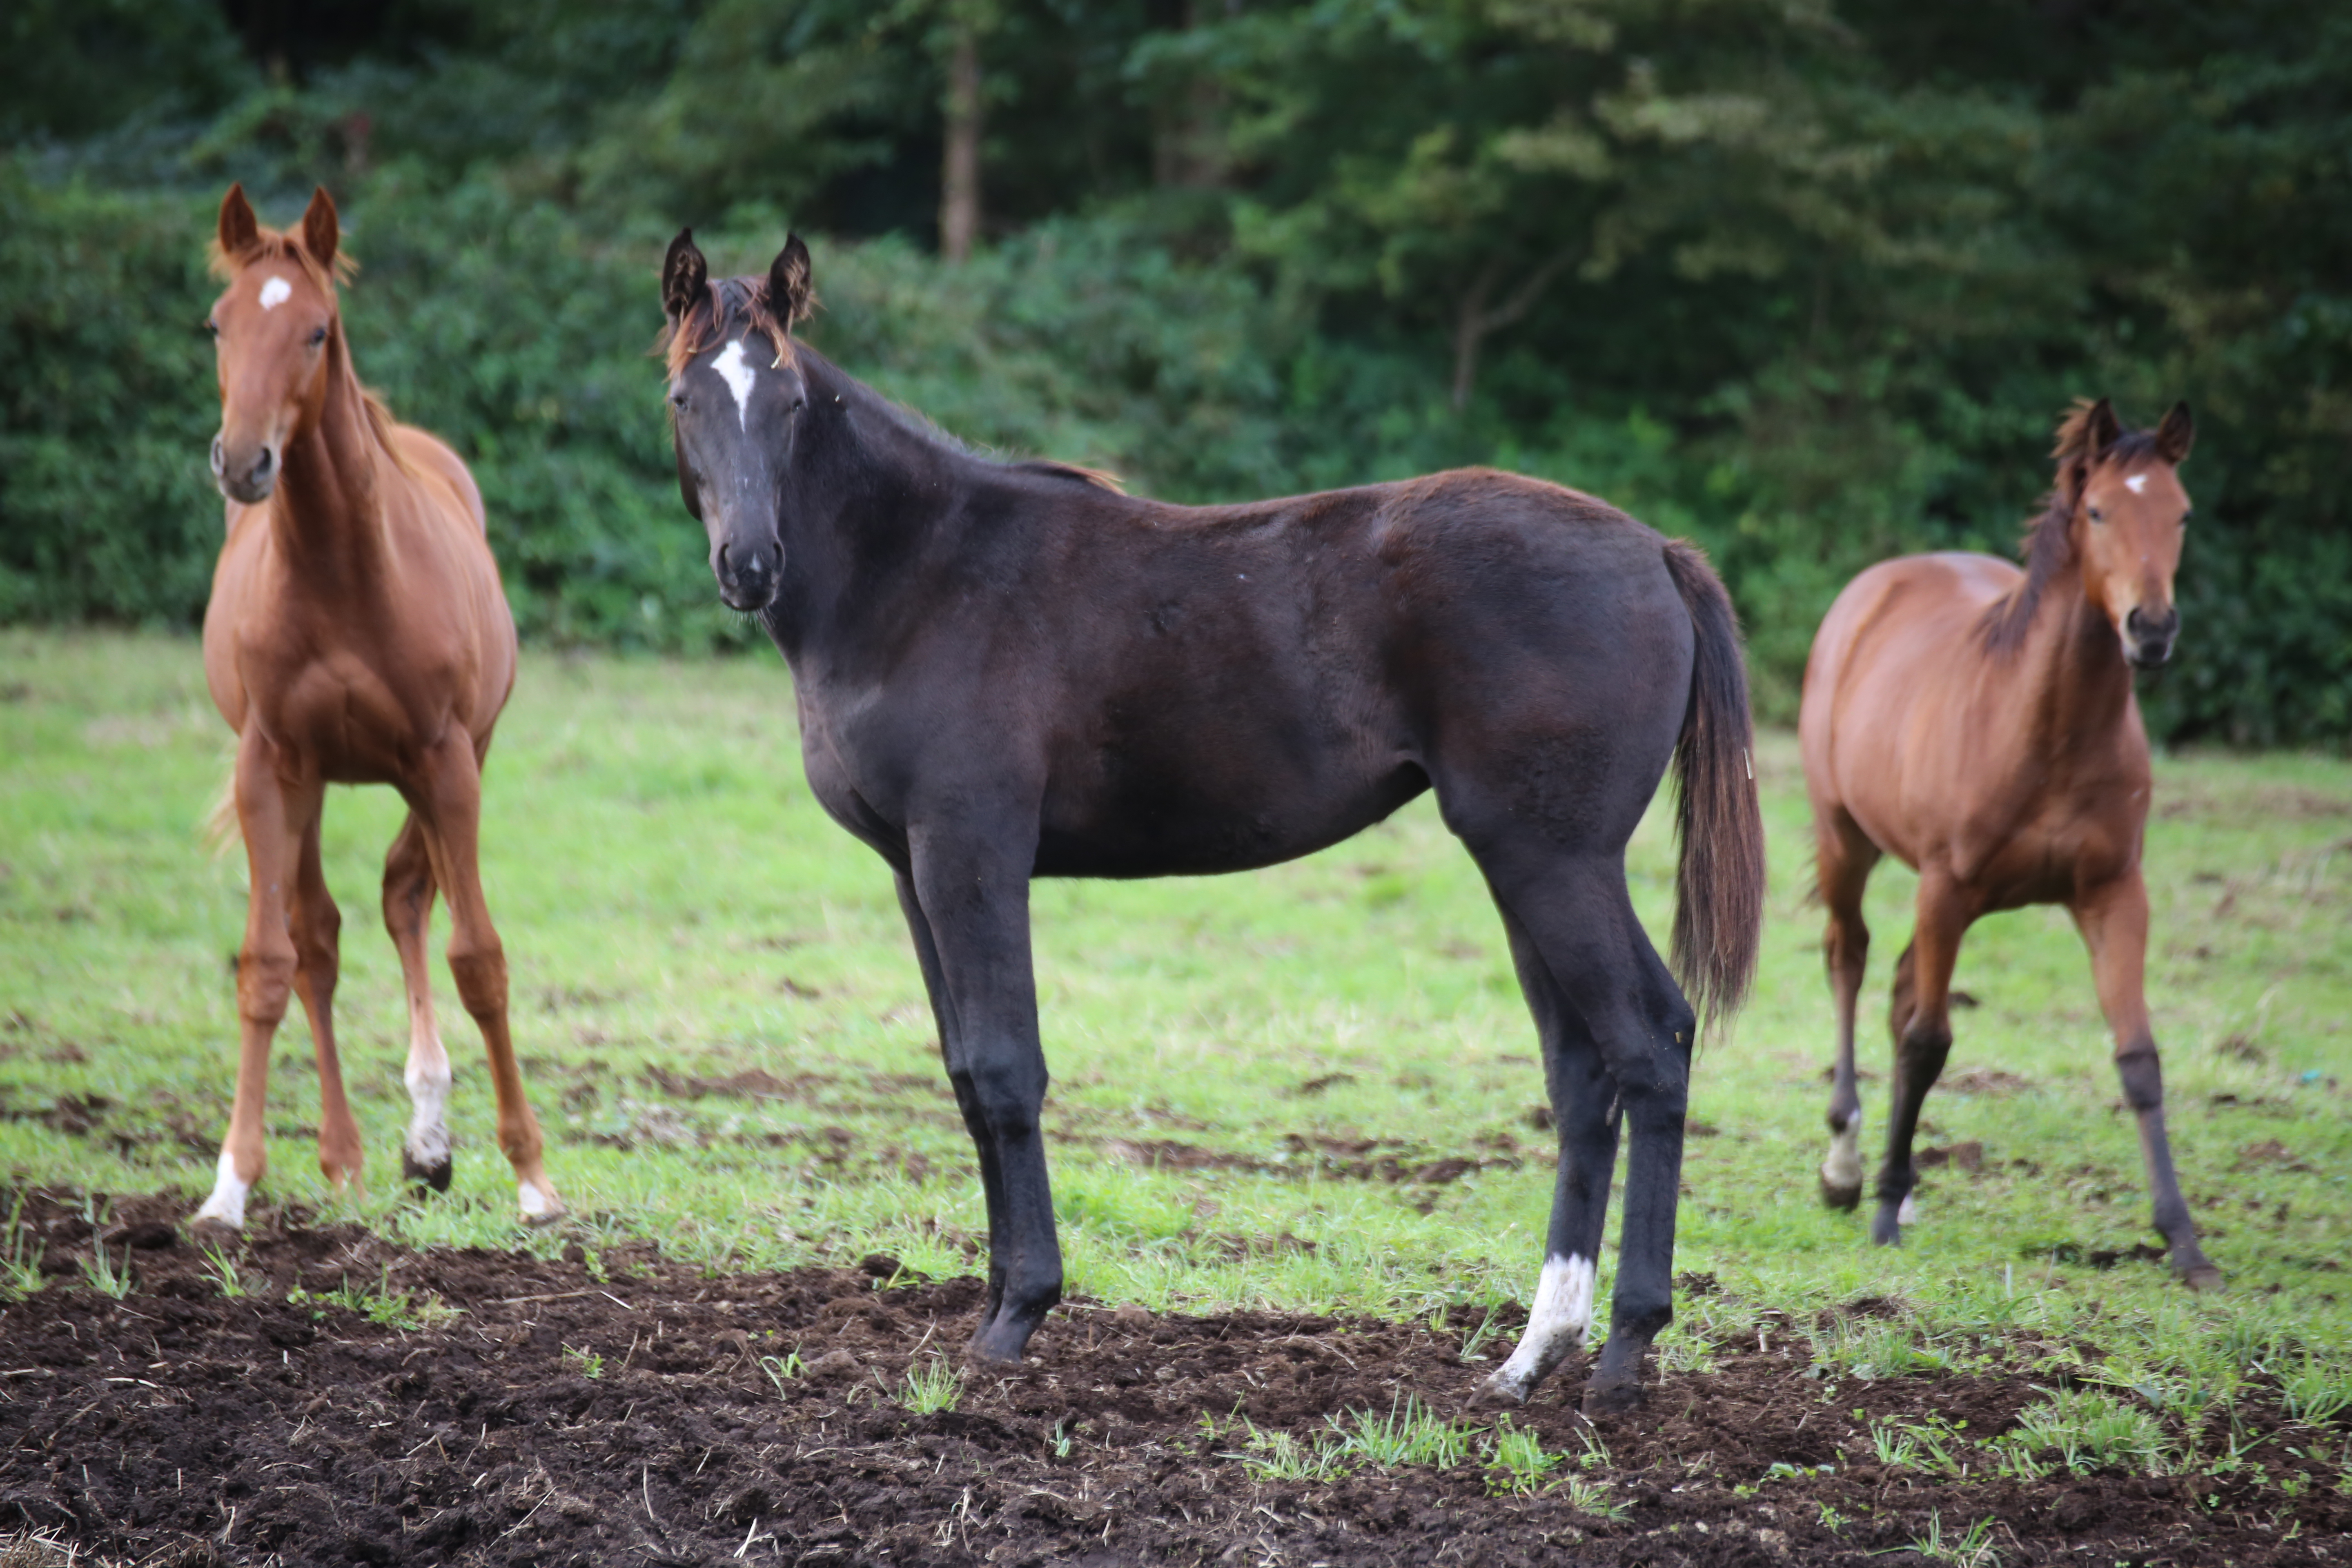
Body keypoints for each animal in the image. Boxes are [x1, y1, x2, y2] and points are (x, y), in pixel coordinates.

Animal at [192, 184, 559, 1232]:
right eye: (218, 325)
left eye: (316, 331)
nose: (245, 461)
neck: (344, 570)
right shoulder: (269, 762)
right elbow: (269, 962)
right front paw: (231, 1182)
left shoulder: (445, 759)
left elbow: (478, 957)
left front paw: (532, 1178)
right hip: (311, 782)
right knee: (318, 936)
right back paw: (348, 1157)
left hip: (449, 756)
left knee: (406, 896)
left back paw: (427, 1135)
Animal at [654, 230, 1759, 1410]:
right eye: (685, 397)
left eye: (788, 402)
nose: (749, 565)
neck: (921, 573)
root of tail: (1656, 552)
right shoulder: (914, 870)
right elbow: (962, 1075)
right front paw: (994, 1300)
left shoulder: (972, 851)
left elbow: (1006, 1067)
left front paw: (1018, 1316)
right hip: (1523, 864)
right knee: (1583, 1071)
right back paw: (1530, 1354)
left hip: (1558, 862)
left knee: (1650, 1045)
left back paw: (1626, 1350)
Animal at [1797, 395, 2220, 1288]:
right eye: (2098, 511)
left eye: (2182, 514)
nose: (2151, 630)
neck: (2047, 728)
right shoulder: (1947, 888)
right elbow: (1928, 1044)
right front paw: (1879, 1214)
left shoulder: (2114, 894)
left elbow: (2139, 1060)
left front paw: (2185, 1242)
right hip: (1846, 842)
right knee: (1850, 960)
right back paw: (1848, 1167)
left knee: (1895, 987)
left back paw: (1898, 1181)